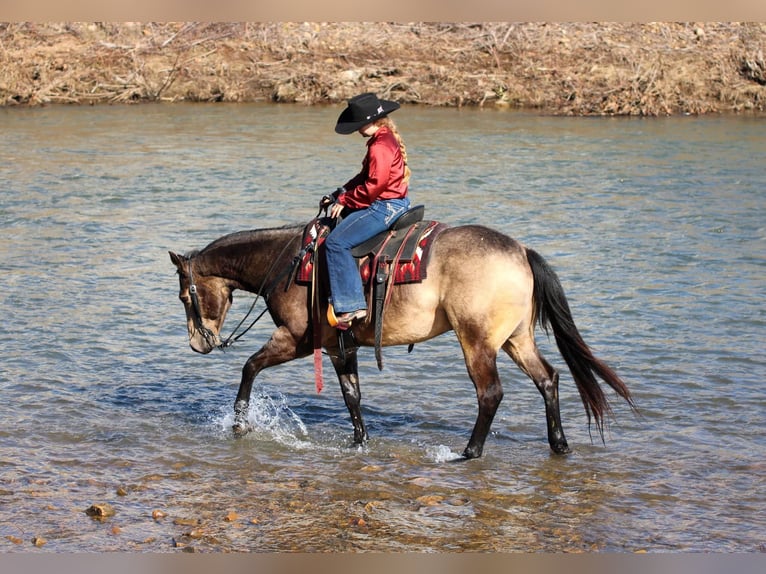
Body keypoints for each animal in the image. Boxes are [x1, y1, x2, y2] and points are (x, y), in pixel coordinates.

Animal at [171, 214, 640, 462]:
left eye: (183, 295)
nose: (199, 344)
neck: (289, 263)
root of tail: (521, 251)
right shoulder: (340, 347)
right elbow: (352, 395)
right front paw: (360, 442)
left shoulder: (297, 340)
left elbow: (249, 367)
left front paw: (239, 422)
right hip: (516, 339)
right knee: (548, 379)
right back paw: (558, 445)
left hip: (477, 342)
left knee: (490, 393)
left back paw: (469, 452)